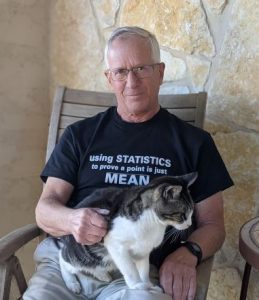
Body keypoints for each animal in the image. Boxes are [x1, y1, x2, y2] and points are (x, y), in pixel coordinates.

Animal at [58, 172, 197, 294]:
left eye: (191, 212)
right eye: (182, 215)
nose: (189, 224)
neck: (154, 223)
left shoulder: (143, 250)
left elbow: (144, 270)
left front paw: (148, 285)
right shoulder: (115, 244)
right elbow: (130, 268)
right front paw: (136, 285)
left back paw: (102, 274)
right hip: (82, 255)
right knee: (64, 259)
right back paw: (72, 283)